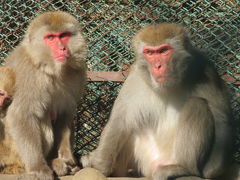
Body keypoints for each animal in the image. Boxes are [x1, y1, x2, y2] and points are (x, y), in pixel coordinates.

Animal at [81, 23, 235, 179]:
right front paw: (101, 166)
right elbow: (120, 120)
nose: (158, 66)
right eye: (150, 53)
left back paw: (184, 168)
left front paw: (211, 171)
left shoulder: (205, 68)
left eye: (164, 51)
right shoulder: (135, 76)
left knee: (196, 104)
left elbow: (221, 118)